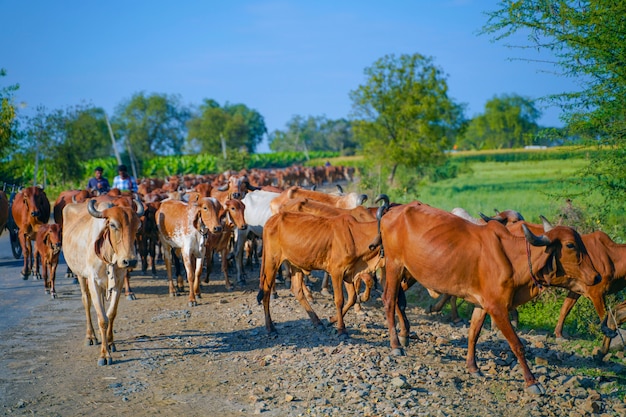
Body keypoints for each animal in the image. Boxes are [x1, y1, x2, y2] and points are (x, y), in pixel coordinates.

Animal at [61, 198, 143, 364]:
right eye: (113, 225)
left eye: (137, 227)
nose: (130, 261)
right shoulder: (93, 282)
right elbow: (102, 319)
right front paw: (104, 355)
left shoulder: (118, 282)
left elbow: (110, 314)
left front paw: (110, 343)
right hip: (80, 275)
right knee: (86, 301)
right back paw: (91, 336)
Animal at [372, 199, 604, 394]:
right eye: (570, 245)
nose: (597, 276)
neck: (513, 258)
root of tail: (393, 210)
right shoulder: (497, 308)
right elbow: (517, 345)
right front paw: (532, 382)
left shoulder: (482, 304)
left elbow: (473, 333)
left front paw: (473, 367)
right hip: (394, 265)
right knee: (389, 300)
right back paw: (396, 345)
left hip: (404, 270)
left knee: (398, 300)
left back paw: (404, 334)